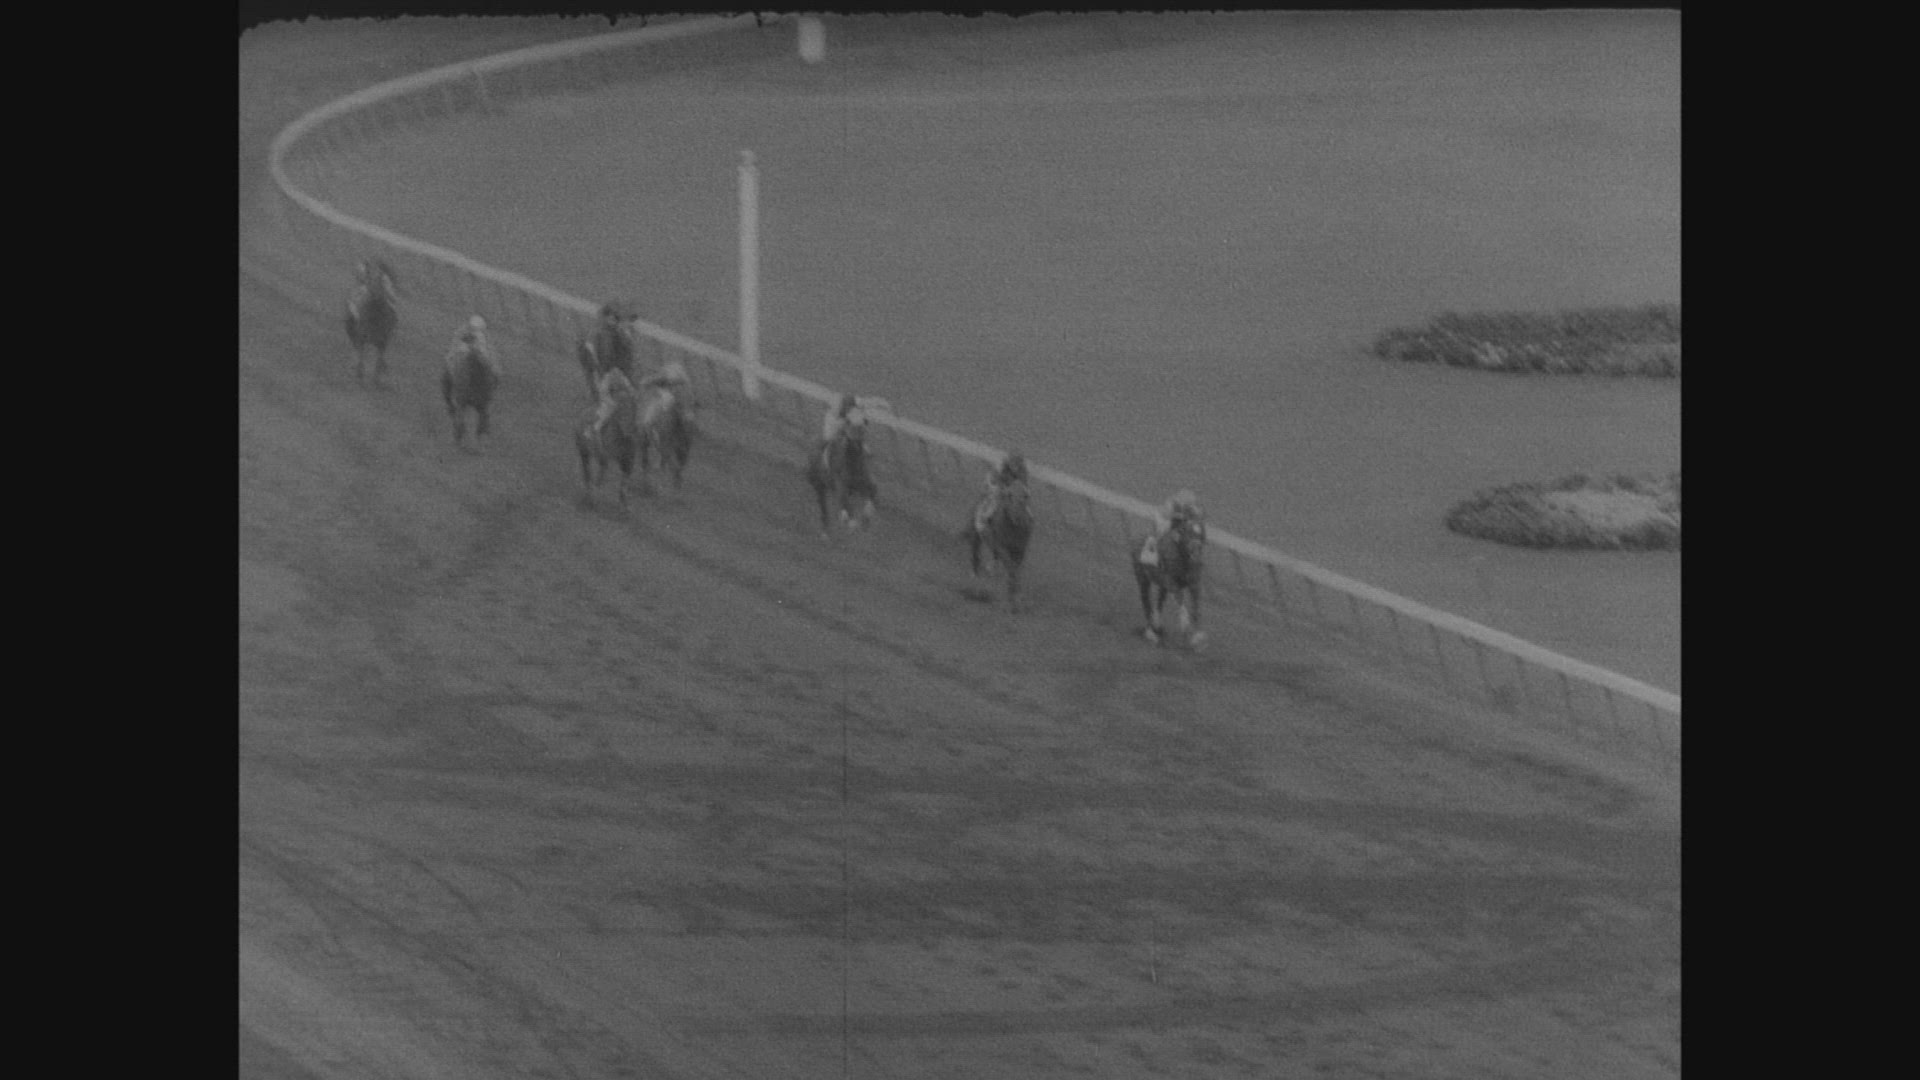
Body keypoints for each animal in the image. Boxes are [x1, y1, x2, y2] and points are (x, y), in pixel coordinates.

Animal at [966, 479, 1035, 610]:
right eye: (1009, 495)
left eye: (1026, 496)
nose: (1017, 517)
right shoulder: (1001, 547)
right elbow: (1011, 569)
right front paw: (1008, 602)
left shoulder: (1019, 550)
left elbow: (1015, 571)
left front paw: (1016, 600)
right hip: (977, 539)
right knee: (976, 559)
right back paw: (977, 588)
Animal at [1133, 516, 1208, 648]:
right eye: (1188, 533)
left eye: (1200, 534)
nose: (1196, 550)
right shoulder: (1171, 582)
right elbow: (1180, 599)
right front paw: (1185, 624)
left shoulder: (1194, 585)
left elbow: (1196, 609)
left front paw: (1197, 638)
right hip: (1143, 580)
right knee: (1146, 604)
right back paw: (1151, 634)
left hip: (1162, 586)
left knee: (1159, 601)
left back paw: (1158, 626)